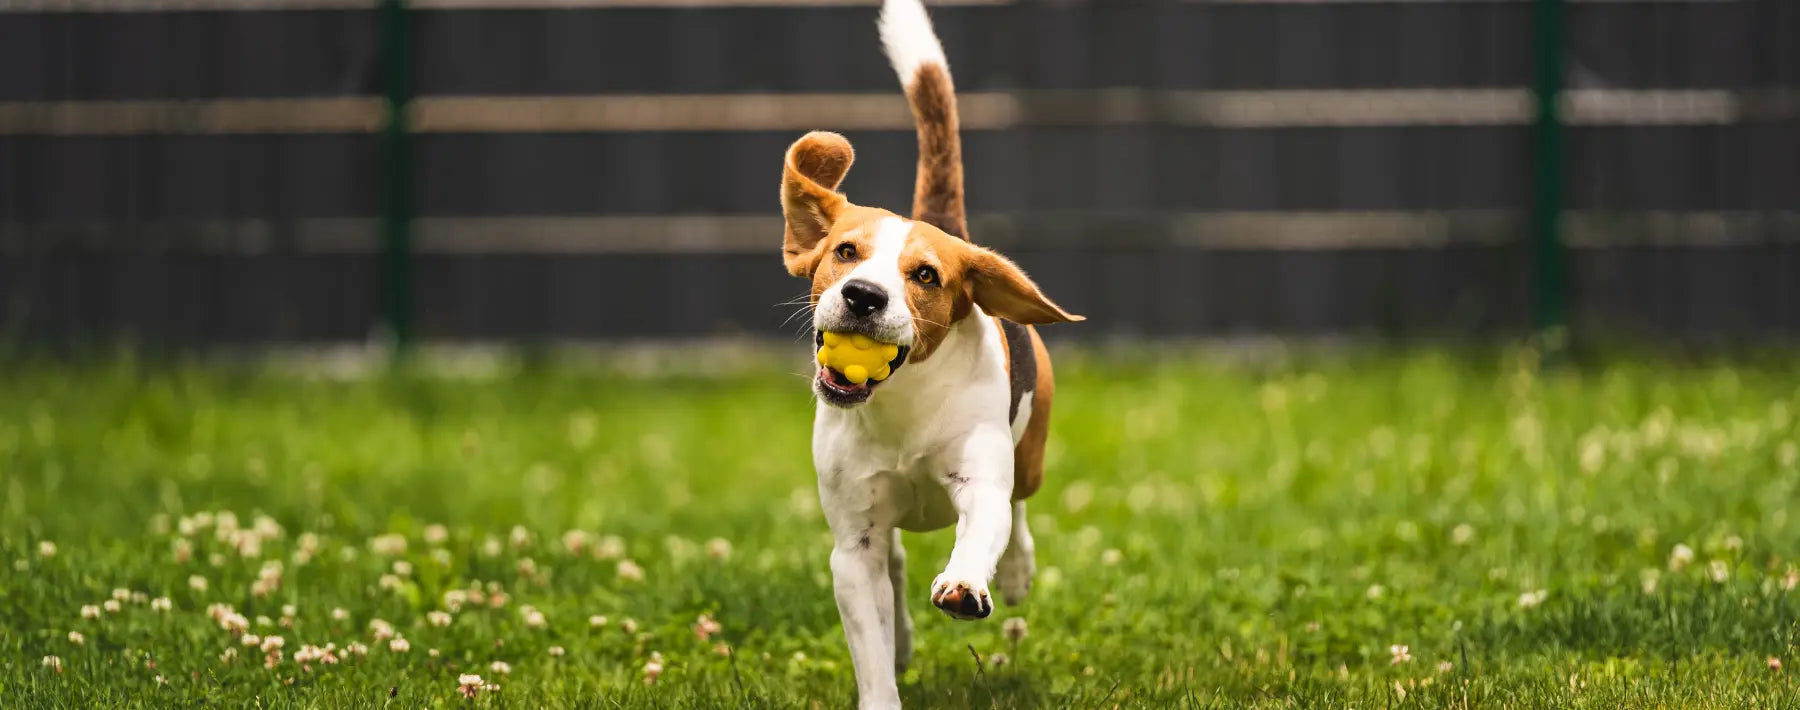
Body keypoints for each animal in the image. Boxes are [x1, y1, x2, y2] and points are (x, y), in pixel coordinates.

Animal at [777, 2, 1080, 706]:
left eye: (925, 276)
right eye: (845, 252)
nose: (862, 296)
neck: (900, 405)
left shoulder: (980, 483)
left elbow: (985, 525)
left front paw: (969, 584)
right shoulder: (852, 545)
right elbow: (870, 641)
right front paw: (885, 670)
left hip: (1030, 453)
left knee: (1020, 506)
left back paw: (1015, 573)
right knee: (894, 566)